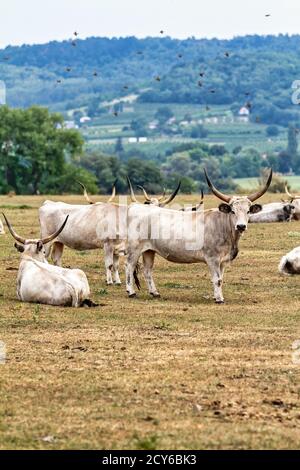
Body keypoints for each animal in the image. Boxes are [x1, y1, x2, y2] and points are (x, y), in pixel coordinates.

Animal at [124, 171, 272, 302]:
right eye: (233, 211)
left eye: (248, 211)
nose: (241, 226)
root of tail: (136, 207)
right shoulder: (212, 259)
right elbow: (217, 279)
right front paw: (219, 299)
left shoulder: (223, 261)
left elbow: (221, 279)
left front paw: (217, 296)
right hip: (134, 249)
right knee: (129, 266)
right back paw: (131, 292)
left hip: (149, 250)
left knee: (147, 270)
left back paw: (154, 293)